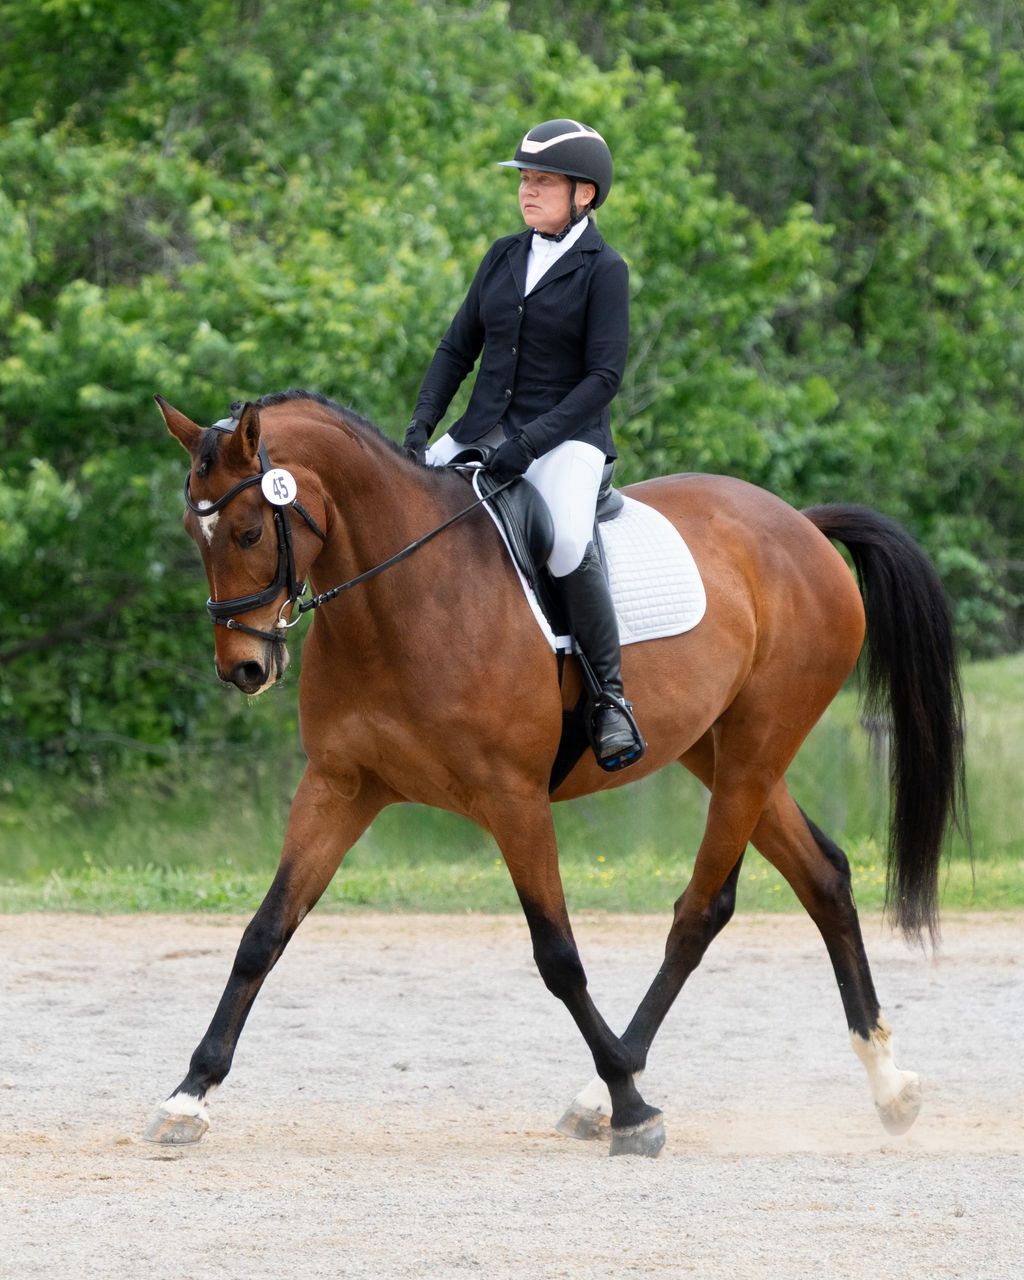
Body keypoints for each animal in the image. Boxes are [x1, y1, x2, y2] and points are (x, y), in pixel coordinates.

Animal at [147, 388, 965, 1157]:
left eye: (251, 531)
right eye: (193, 533)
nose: (244, 669)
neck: (401, 600)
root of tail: (801, 525)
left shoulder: (514, 801)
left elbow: (558, 956)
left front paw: (635, 1112)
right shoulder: (339, 788)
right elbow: (264, 933)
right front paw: (189, 1096)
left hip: (756, 750)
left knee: (702, 910)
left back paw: (614, 1089)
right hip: (722, 752)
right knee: (822, 875)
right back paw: (888, 1087)